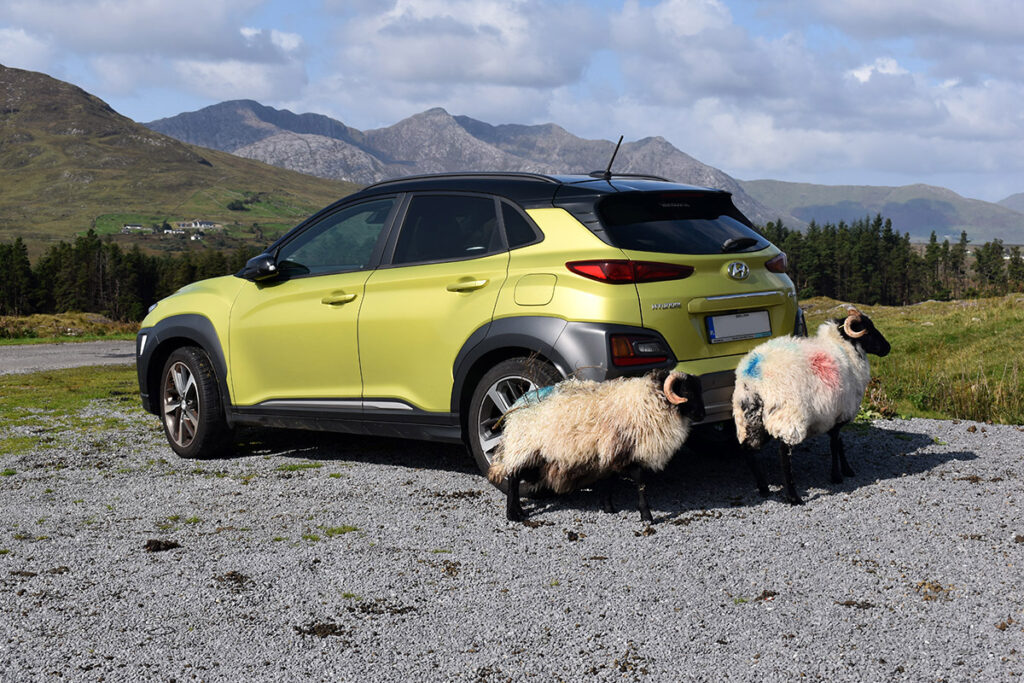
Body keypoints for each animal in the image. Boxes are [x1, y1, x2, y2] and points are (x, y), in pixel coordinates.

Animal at [487, 368, 704, 524]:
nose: (702, 414)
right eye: (686, 391)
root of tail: (515, 404)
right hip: (524, 447)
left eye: (699, 391)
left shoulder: (608, 452)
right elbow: (639, 481)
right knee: (513, 478)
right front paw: (646, 516)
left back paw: (519, 511)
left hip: (535, 455)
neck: (648, 401)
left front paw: (608, 507)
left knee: (516, 476)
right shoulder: (624, 451)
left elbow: (609, 479)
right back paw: (513, 514)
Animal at [733, 307, 892, 505]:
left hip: (748, 419)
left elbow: (839, 443)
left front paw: (847, 470)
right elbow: (834, 444)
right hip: (787, 417)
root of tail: (753, 376)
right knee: (783, 453)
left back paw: (763, 488)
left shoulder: (834, 414)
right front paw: (837, 476)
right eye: (867, 330)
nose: (887, 348)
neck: (846, 350)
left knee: (748, 450)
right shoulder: (840, 413)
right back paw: (793, 497)